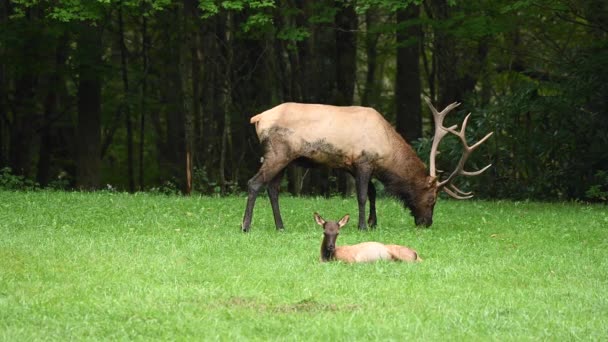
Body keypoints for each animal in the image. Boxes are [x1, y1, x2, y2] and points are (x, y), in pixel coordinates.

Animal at [240, 99, 492, 232]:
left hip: (285, 159)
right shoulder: (363, 162)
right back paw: (246, 225)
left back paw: (280, 226)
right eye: (432, 199)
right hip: (278, 153)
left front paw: (373, 222)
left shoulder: (355, 165)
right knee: (254, 183)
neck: (387, 153)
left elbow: (372, 193)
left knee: (272, 189)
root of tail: (257, 118)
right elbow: (362, 195)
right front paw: (362, 225)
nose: (426, 223)